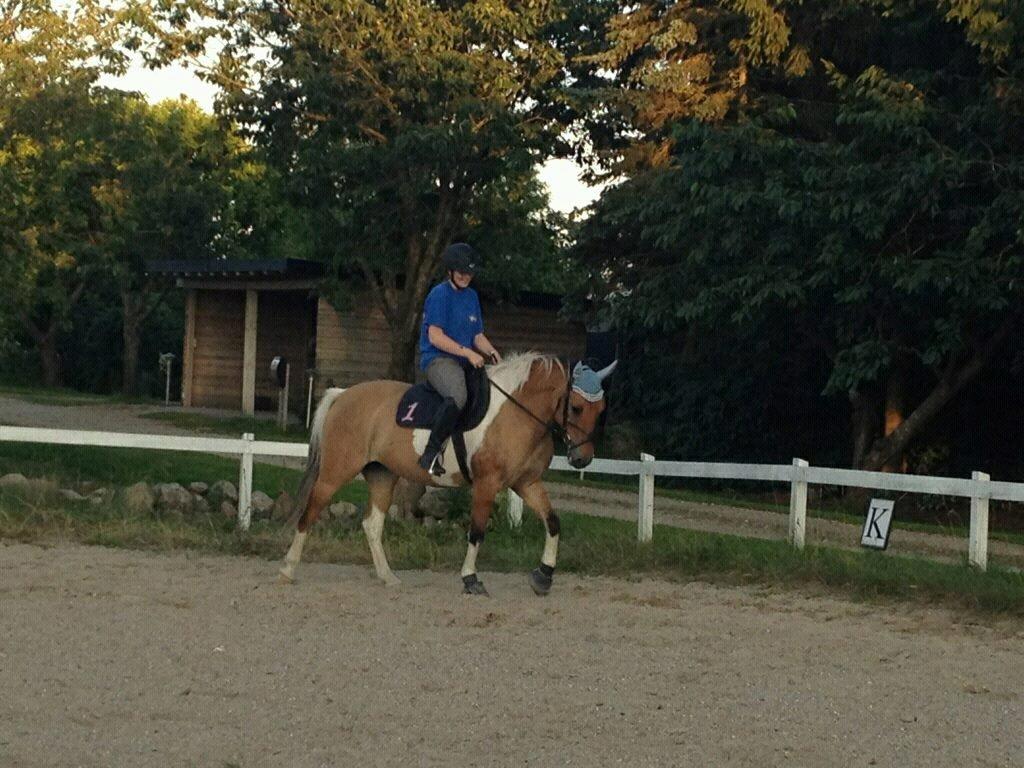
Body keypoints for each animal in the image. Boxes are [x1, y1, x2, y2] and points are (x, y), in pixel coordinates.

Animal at [278, 352, 614, 598]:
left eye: (601, 410)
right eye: (576, 407)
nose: (582, 459)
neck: (516, 413)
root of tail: (343, 394)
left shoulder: (526, 483)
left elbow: (553, 523)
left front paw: (543, 577)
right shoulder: (487, 484)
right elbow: (476, 531)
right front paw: (470, 579)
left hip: (383, 475)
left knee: (372, 525)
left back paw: (388, 577)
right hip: (336, 471)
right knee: (309, 512)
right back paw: (288, 570)